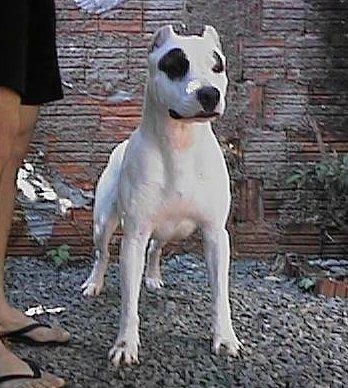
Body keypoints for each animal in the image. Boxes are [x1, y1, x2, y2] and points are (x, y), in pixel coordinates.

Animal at [81, 25, 242, 366]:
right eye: (175, 64)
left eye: (217, 65)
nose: (209, 93)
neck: (181, 144)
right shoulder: (134, 237)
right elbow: (129, 301)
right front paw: (125, 344)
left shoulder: (215, 235)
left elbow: (220, 294)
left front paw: (224, 338)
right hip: (103, 224)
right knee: (102, 253)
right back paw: (94, 283)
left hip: (173, 229)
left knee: (157, 248)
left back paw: (153, 277)